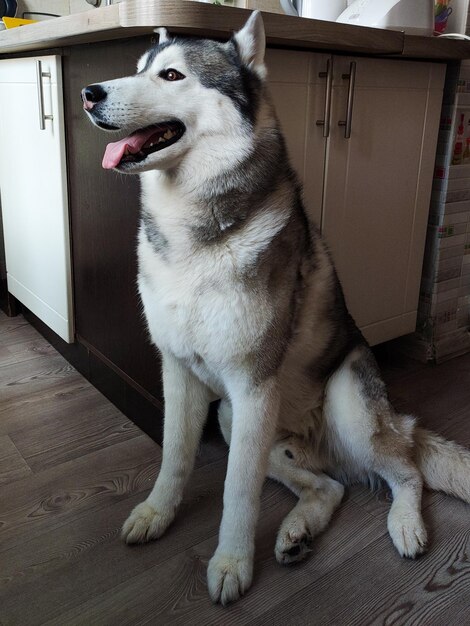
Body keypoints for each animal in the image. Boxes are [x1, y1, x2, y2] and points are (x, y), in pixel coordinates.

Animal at [82, 11, 470, 604]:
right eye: (138, 68)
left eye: (171, 75)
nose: (88, 93)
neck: (194, 236)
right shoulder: (180, 373)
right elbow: (174, 458)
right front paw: (156, 513)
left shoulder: (252, 385)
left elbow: (237, 492)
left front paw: (232, 562)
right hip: (235, 420)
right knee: (330, 487)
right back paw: (297, 531)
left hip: (345, 408)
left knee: (407, 472)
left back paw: (406, 524)